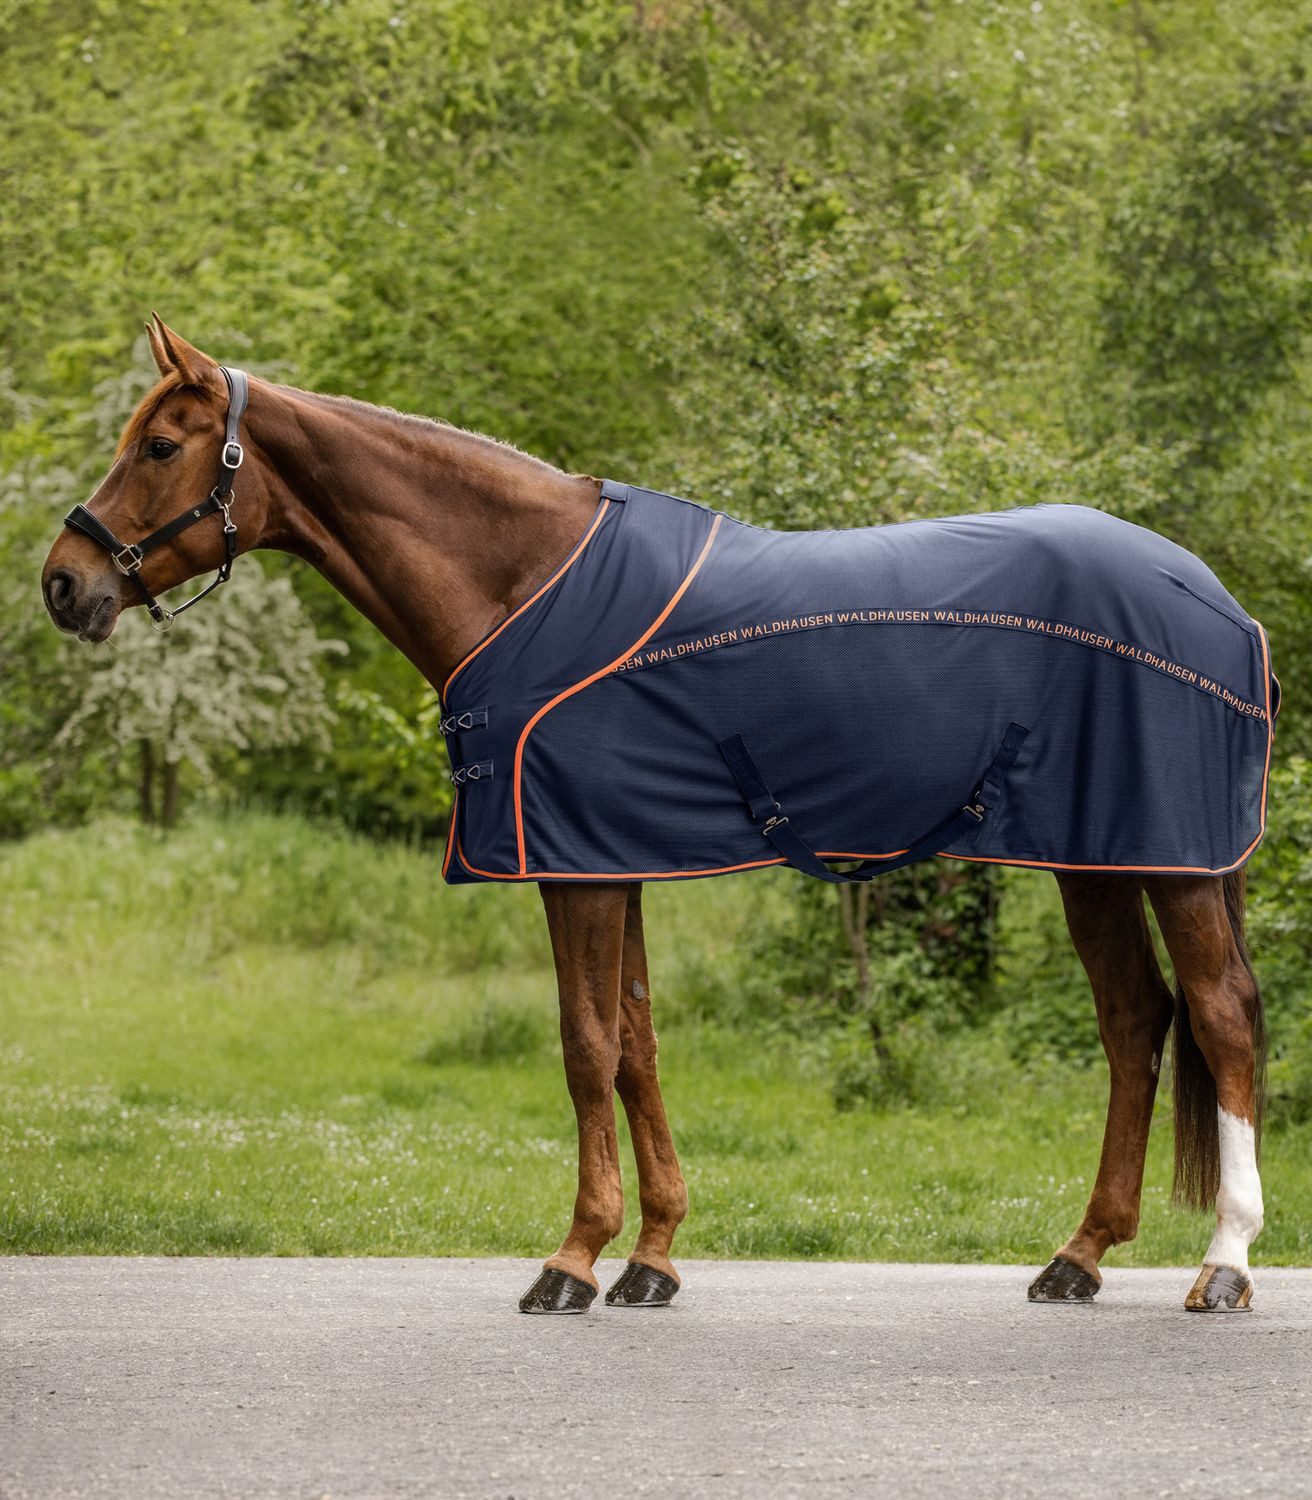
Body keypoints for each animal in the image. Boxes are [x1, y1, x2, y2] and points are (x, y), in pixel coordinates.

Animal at [41, 318, 1270, 1315]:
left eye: (162, 446)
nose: (62, 583)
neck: (525, 583)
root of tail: (1217, 600)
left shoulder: (574, 869)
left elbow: (586, 1049)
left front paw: (572, 1260)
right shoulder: (611, 859)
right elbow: (635, 1046)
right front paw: (653, 1257)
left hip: (1175, 862)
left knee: (1218, 1018)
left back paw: (1224, 1265)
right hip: (1098, 860)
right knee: (1135, 1024)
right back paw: (1080, 1255)